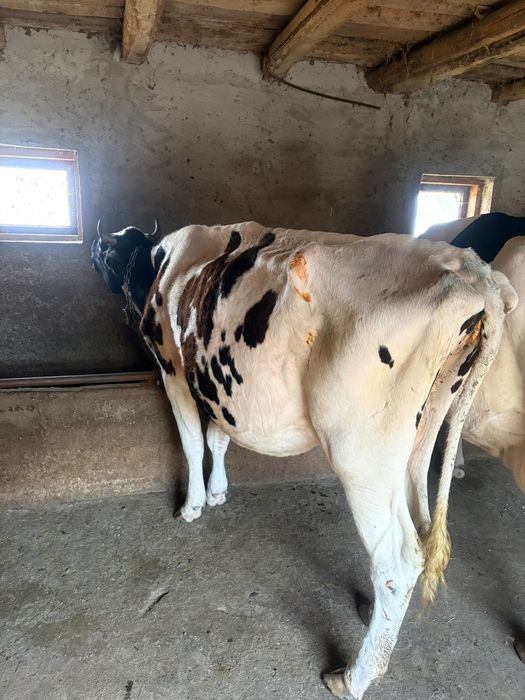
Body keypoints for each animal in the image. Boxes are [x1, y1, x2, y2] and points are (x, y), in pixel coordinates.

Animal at [92, 221, 515, 699]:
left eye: (104, 253)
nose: (91, 253)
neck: (167, 264)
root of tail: (473, 272)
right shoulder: (217, 384)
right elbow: (219, 437)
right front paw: (218, 494)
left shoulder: (173, 369)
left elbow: (192, 441)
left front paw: (192, 505)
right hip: (422, 433)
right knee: (422, 530)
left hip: (361, 454)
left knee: (398, 559)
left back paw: (353, 677)